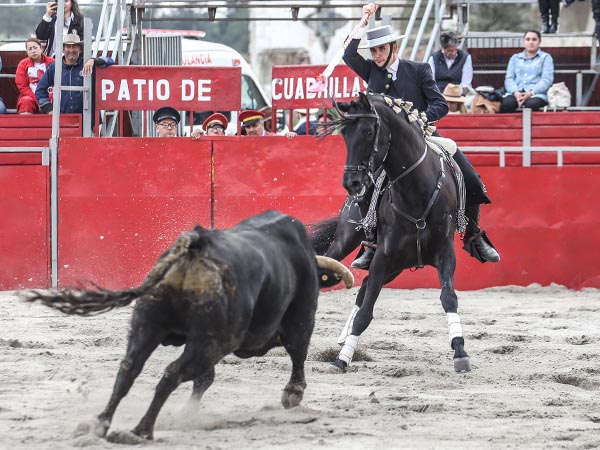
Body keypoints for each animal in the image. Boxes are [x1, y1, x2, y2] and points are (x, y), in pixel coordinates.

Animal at [22, 212, 352, 442]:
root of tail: (195, 247)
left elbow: (204, 379)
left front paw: (187, 412)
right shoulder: (298, 319)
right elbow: (298, 352)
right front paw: (293, 395)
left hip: (149, 325)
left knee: (129, 369)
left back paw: (101, 425)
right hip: (213, 342)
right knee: (172, 373)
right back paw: (141, 430)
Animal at [312, 91, 472, 372]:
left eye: (367, 132)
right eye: (344, 135)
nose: (352, 183)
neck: (417, 192)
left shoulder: (444, 253)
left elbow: (449, 297)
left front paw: (460, 351)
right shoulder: (384, 256)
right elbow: (366, 312)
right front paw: (341, 360)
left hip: (398, 265)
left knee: (364, 286)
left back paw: (344, 337)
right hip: (348, 242)